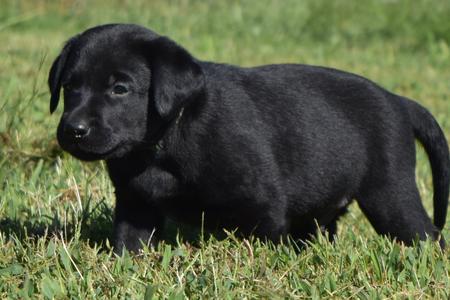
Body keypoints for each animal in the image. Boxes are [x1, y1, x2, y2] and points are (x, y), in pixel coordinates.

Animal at [47, 24, 448, 252]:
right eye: (68, 87)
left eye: (120, 89)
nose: (73, 130)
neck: (166, 140)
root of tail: (399, 101)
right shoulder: (135, 205)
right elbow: (129, 246)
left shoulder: (264, 208)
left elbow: (262, 246)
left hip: (391, 197)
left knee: (429, 237)